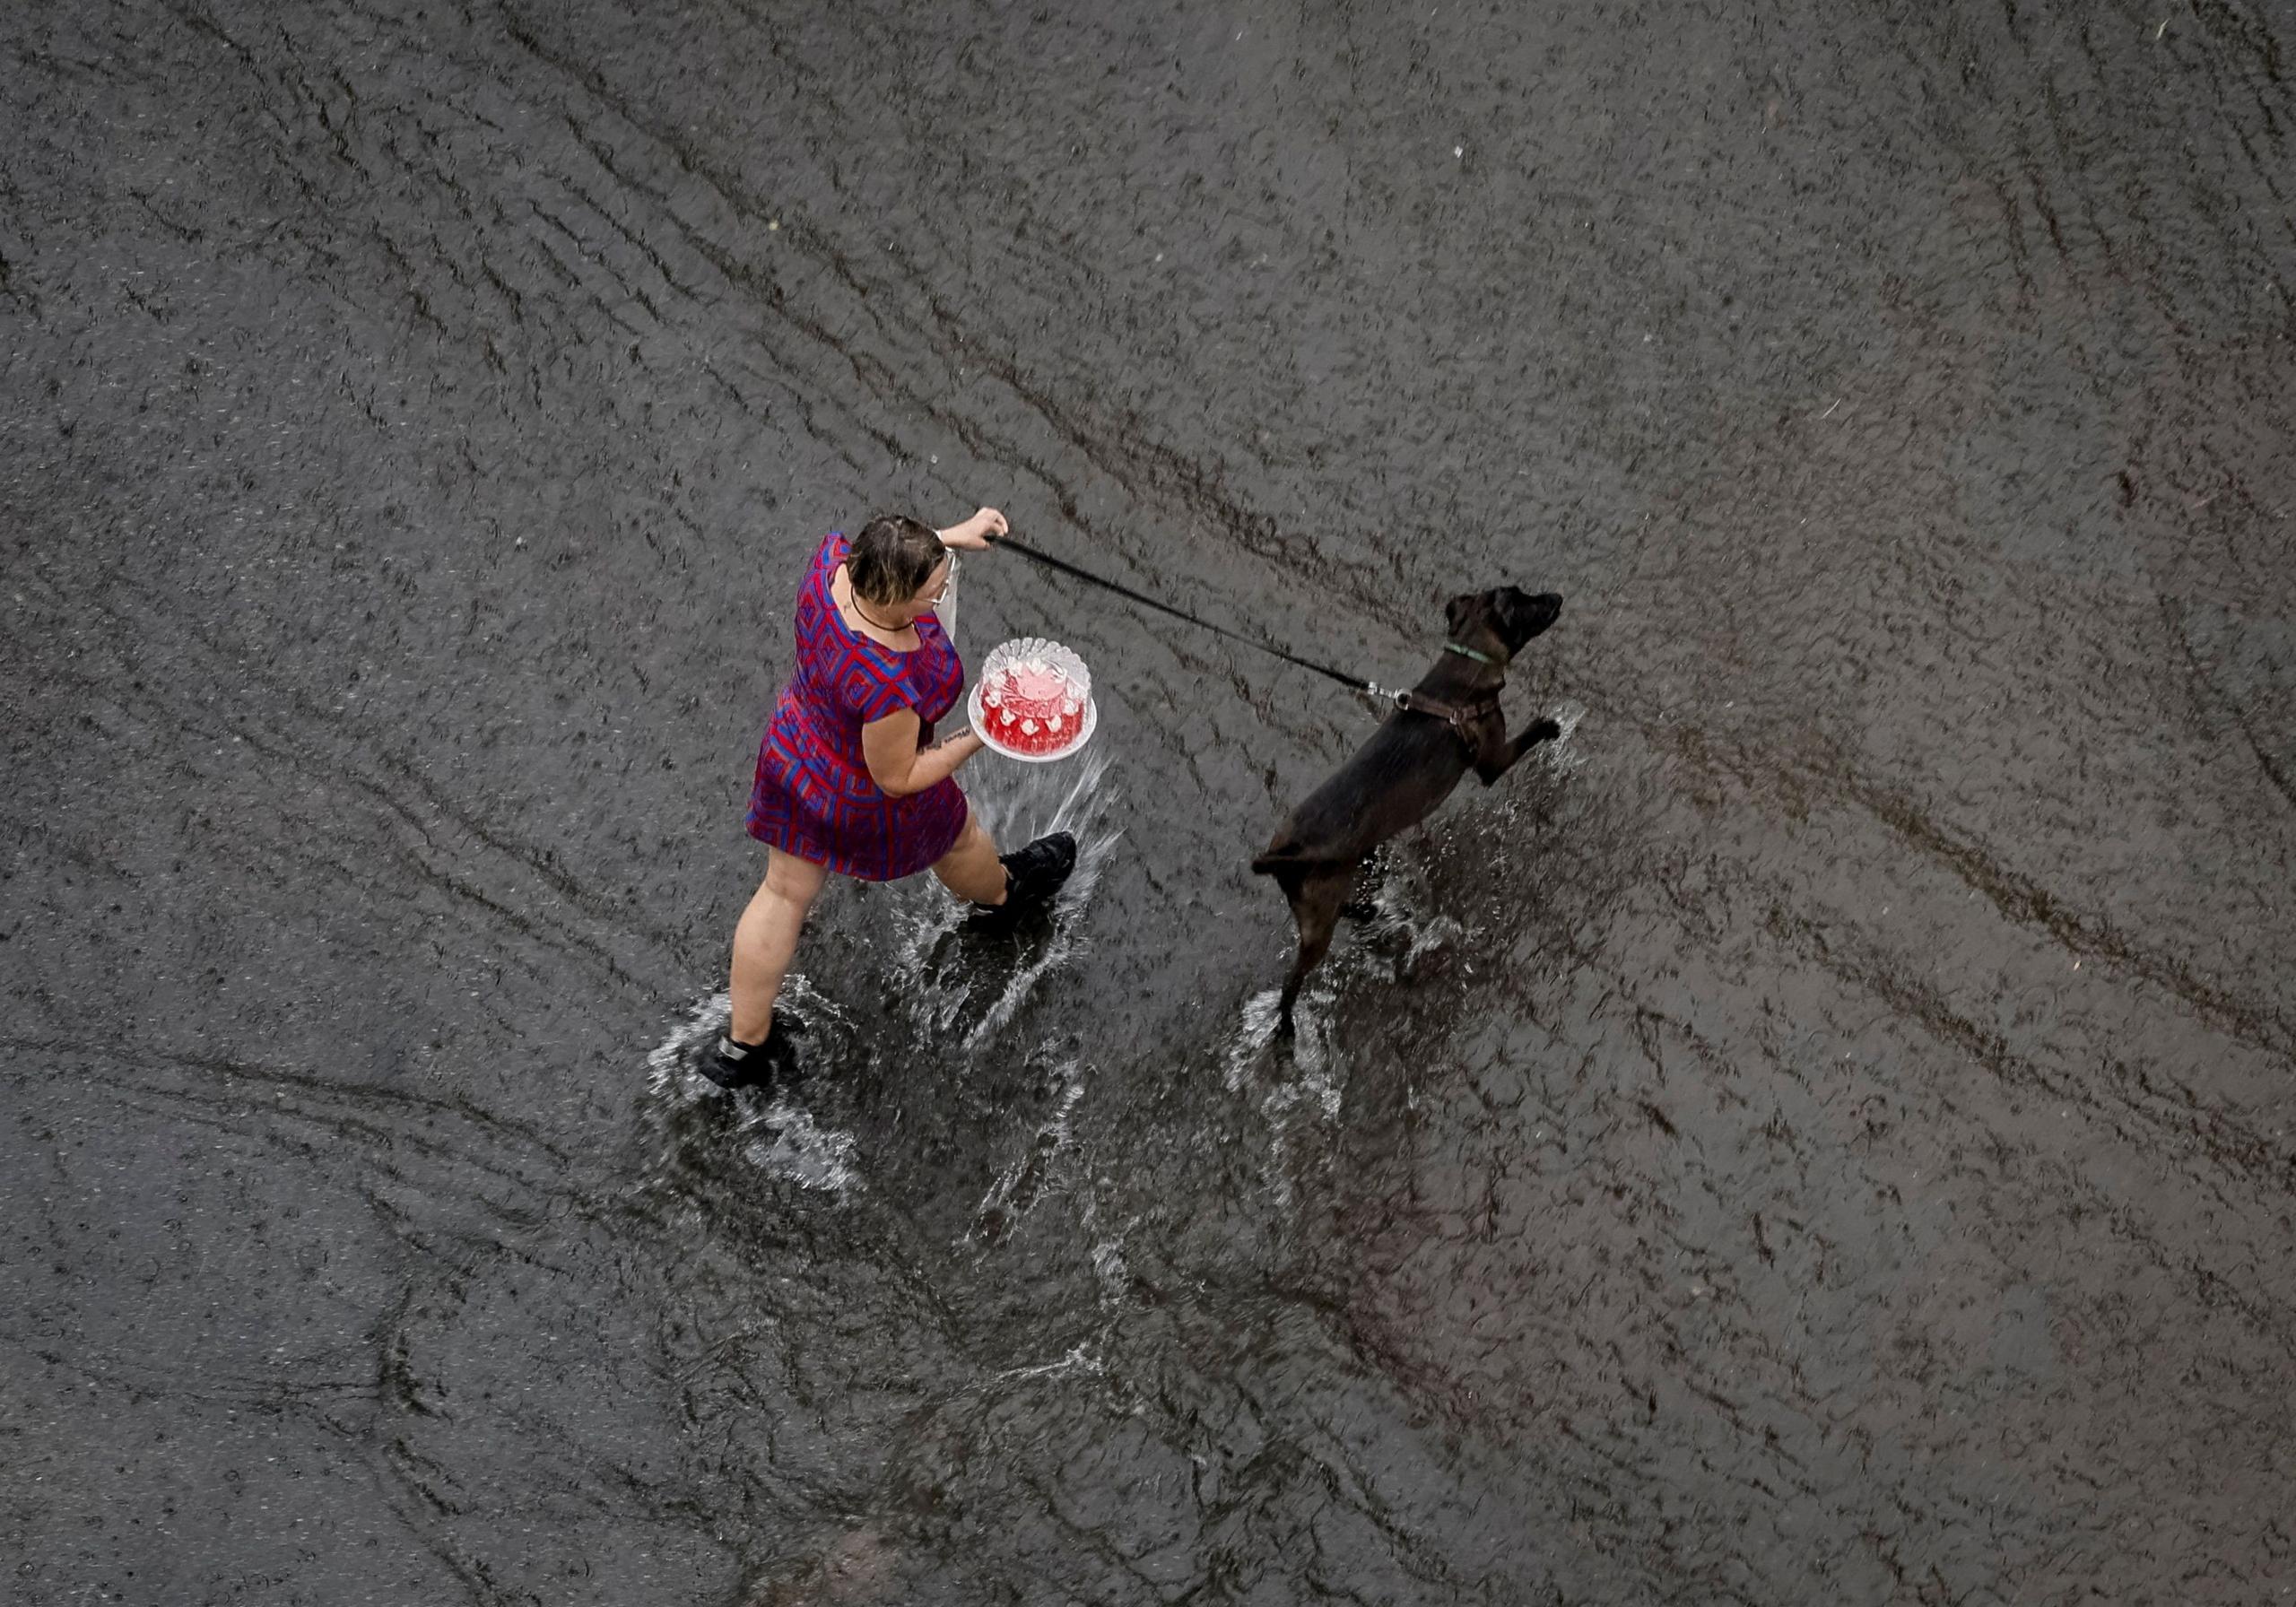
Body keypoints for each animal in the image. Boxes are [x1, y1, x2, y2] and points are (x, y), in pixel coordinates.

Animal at [1257, 583, 1561, 1023]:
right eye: (1527, 600)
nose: (1557, 598)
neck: (1464, 669)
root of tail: (1282, 854)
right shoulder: (1494, 760)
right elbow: (1527, 738)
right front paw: (1551, 727)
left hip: (1335, 888)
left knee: (1351, 909)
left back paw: (1370, 912)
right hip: (1317, 925)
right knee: (1292, 981)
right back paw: (1285, 1026)